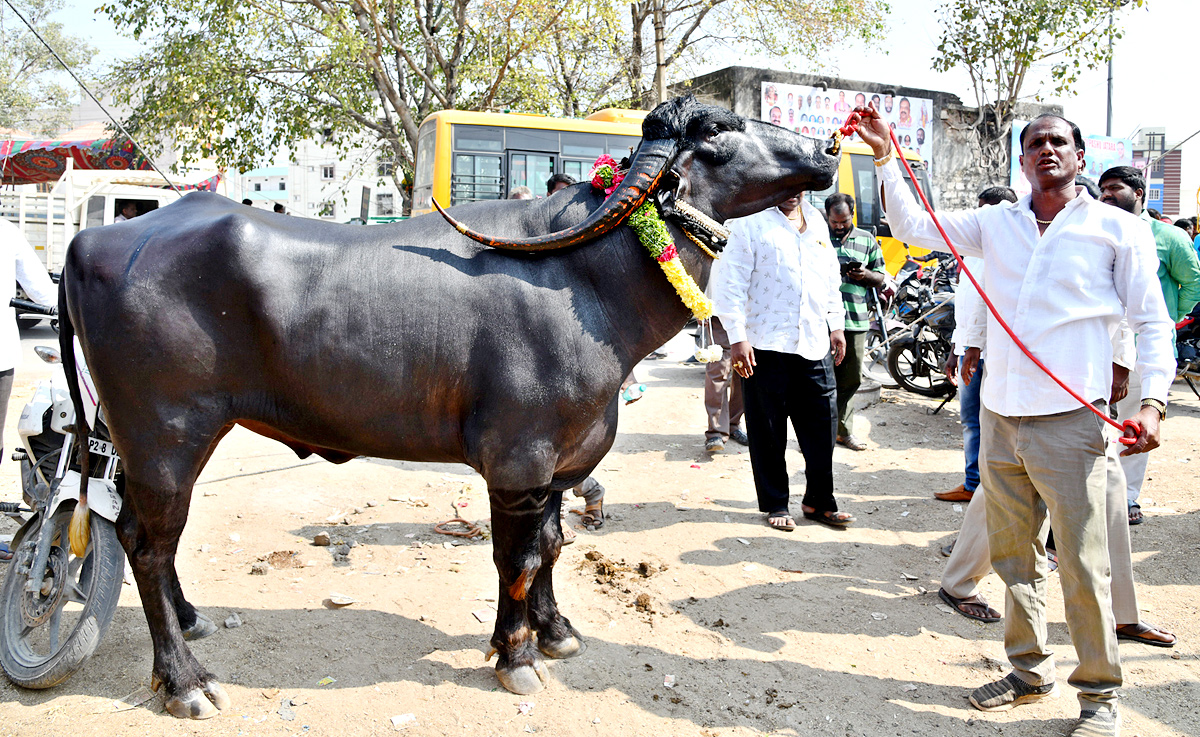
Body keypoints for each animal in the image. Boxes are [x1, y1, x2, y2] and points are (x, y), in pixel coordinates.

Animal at [60, 95, 840, 720]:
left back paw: (192, 621)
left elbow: (552, 545)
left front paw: (555, 633)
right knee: (145, 544)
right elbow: (516, 557)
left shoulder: (559, 464)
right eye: (721, 128)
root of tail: (91, 237)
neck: (584, 279)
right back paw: (185, 682)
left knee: (149, 540)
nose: (829, 147)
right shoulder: (517, 462)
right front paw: (516, 657)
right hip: (167, 436)